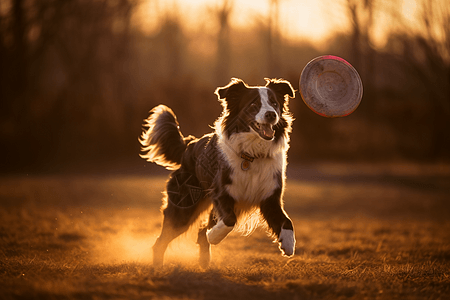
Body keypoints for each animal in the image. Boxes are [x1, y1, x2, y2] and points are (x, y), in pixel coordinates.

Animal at [139, 77, 298, 268]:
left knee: (199, 233)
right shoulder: (222, 194)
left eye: (275, 103)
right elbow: (229, 220)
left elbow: (287, 221)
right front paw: (214, 236)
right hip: (184, 207)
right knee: (161, 241)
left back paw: (204, 262)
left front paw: (288, 244)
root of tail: (189, 145)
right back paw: (158, 267)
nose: (271, 114)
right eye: (253, 104)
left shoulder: (270, 197)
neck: (252, 155)